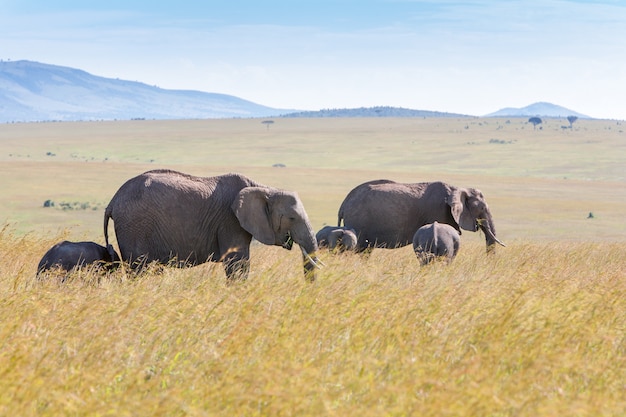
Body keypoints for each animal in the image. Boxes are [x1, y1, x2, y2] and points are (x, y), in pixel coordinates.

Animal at [104, 168, 320, 280]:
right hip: (134, 227)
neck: (265, 188)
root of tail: (113, 200)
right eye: (292, 218)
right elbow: (237, 264)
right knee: (139, 269)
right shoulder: (230, 221)